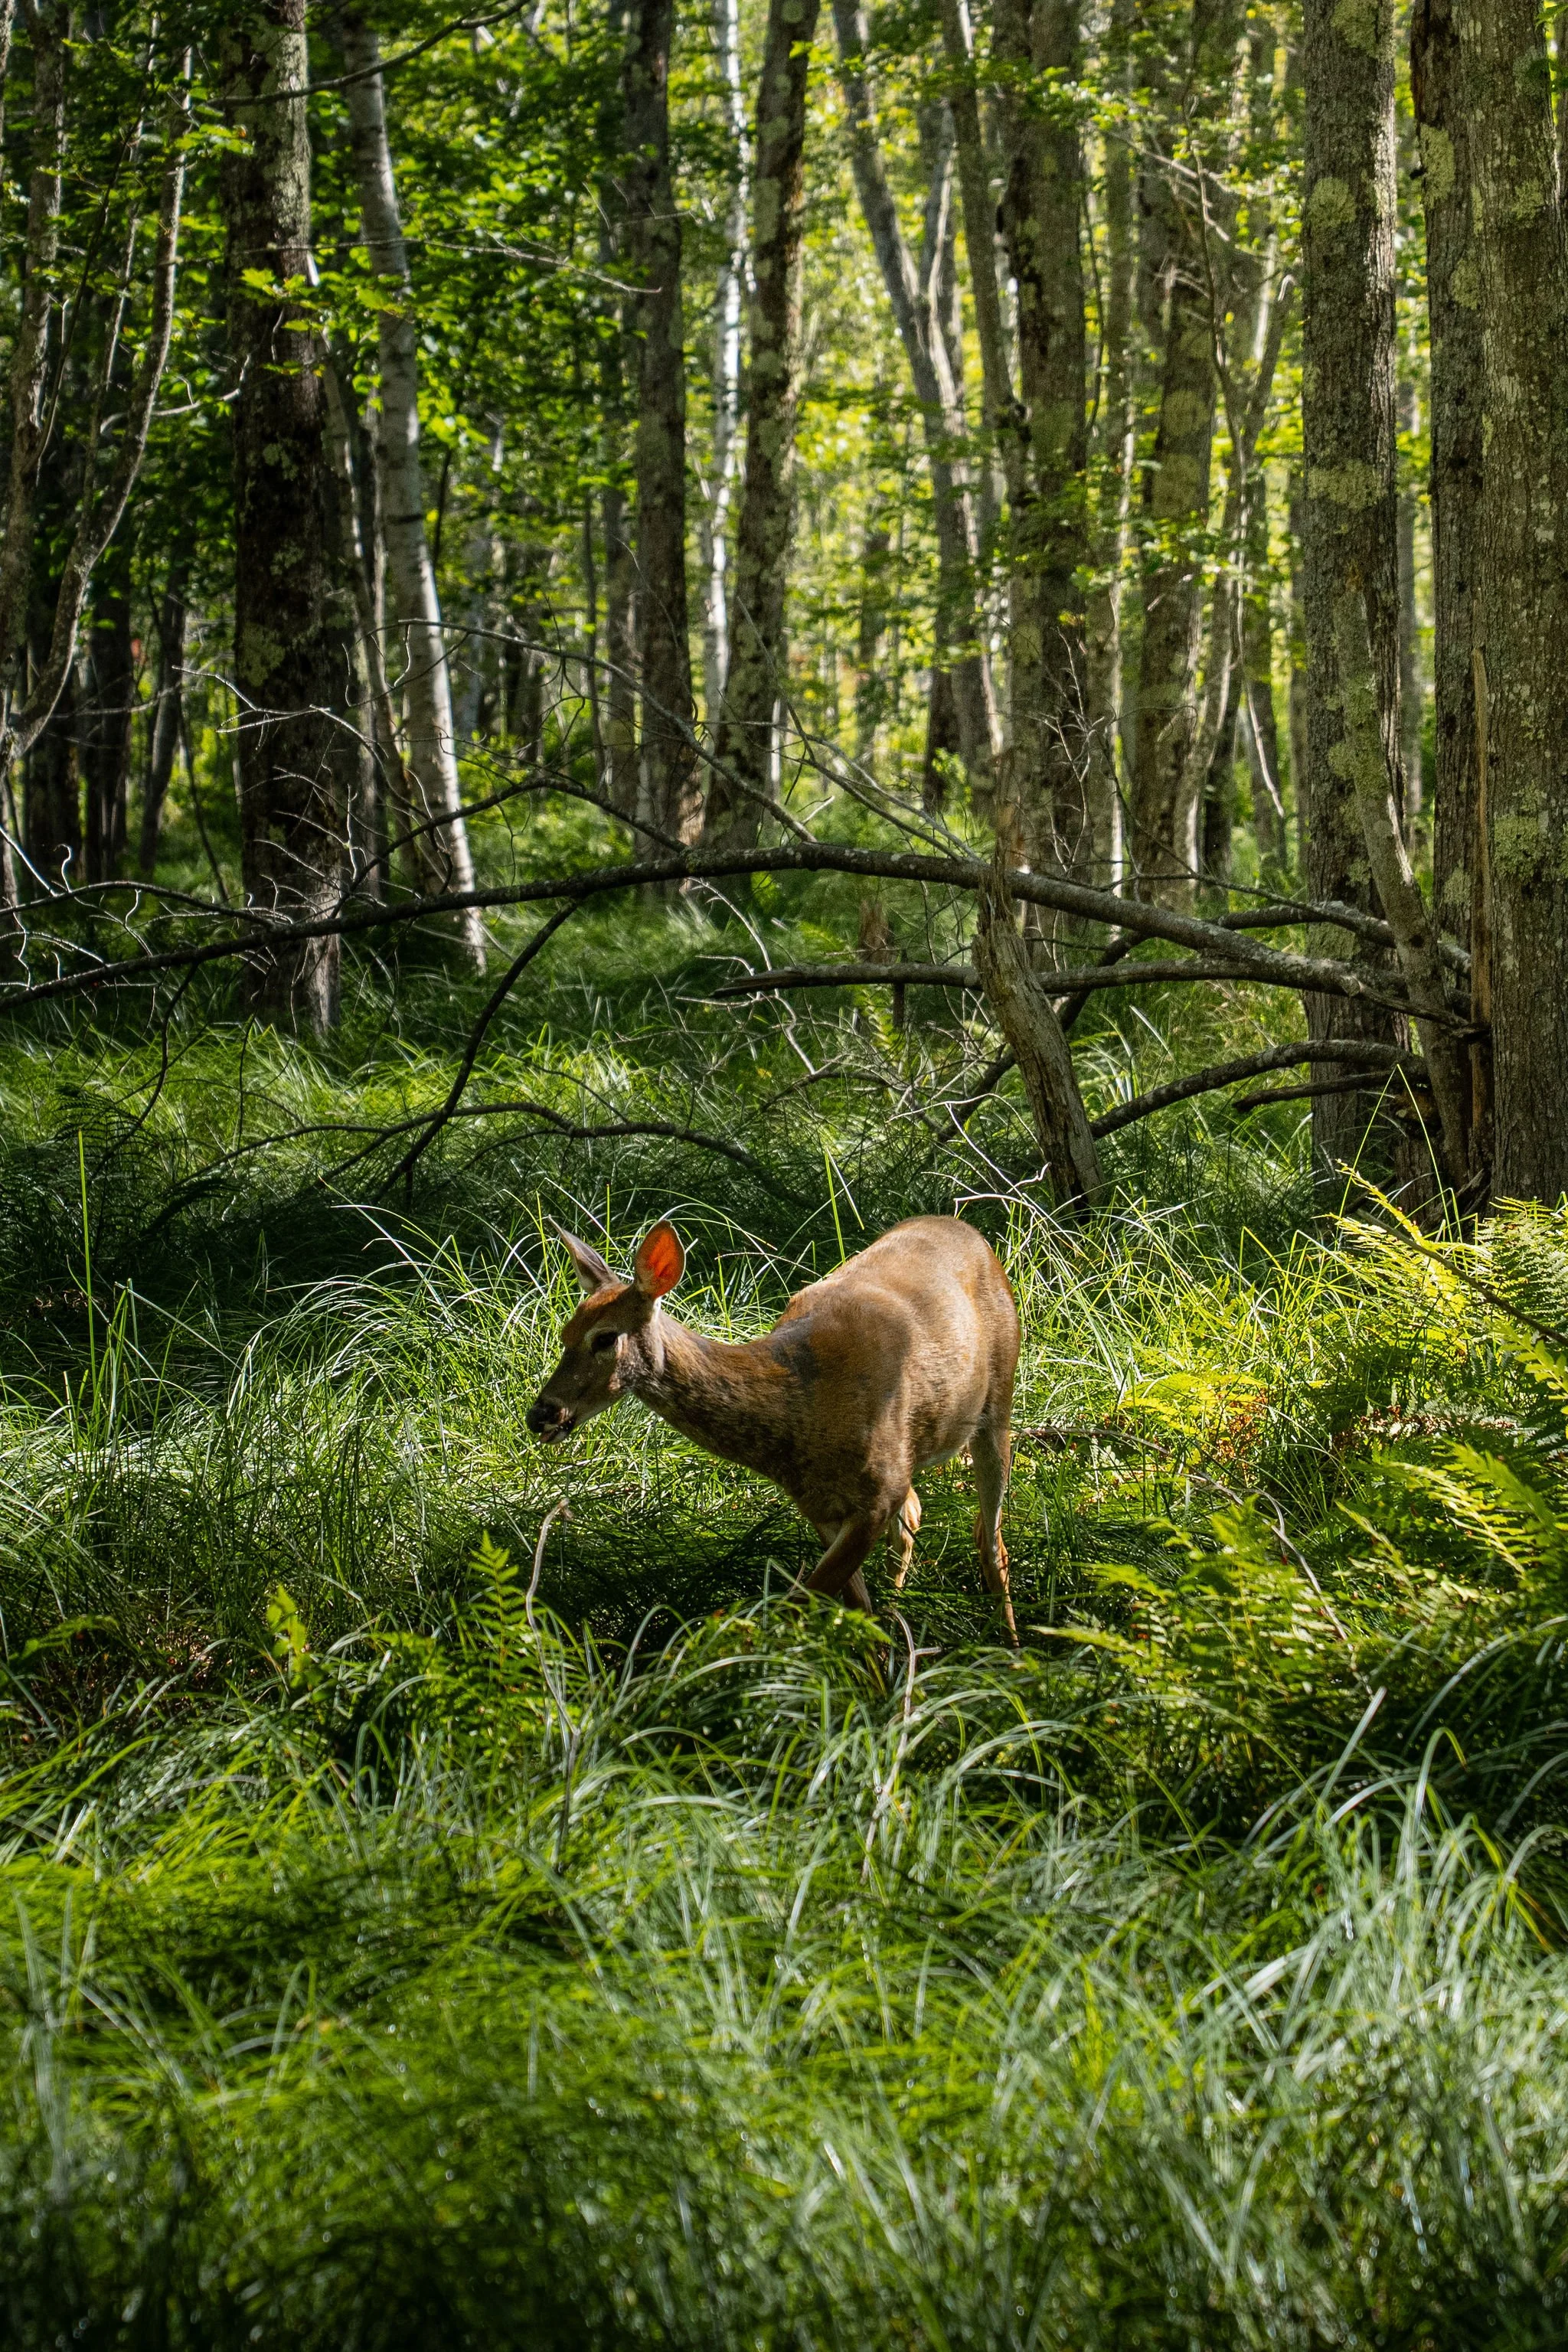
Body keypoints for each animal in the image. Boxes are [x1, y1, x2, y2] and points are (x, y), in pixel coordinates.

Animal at [526, 1215, 1020, 1641]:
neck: (799, 1414)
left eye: (605, 1338)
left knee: (991, 1539)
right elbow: (855, 1609)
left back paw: (1012, 1649)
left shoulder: (877, 1495)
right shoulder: (822, 1507)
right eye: (566, 1333)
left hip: (998, 1399)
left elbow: (808, 1602)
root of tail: (965, 1228)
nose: (540, 1415)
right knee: (917, 1516)